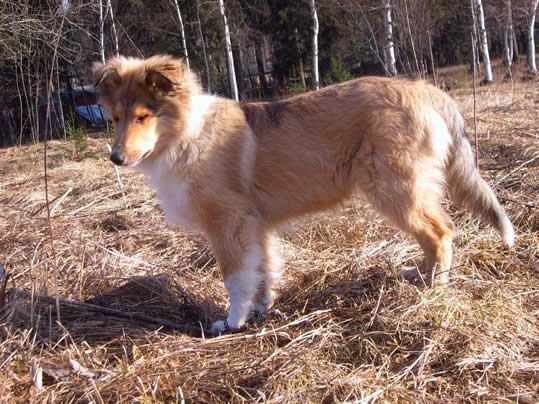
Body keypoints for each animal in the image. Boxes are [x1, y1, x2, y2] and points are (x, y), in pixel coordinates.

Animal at [93, 55, 514, 333]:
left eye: (143, 116)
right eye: (115, 118)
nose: (115, 158)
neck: (186, 135)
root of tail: (426, 90)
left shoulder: (226, 224)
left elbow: (235, 278)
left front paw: (232, 322)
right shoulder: (256, 226)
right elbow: (262, 270)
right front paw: (261, 310)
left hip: (395, 189)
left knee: (441, 233)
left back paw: (434, 290)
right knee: (432, 236)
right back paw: (419, 274)